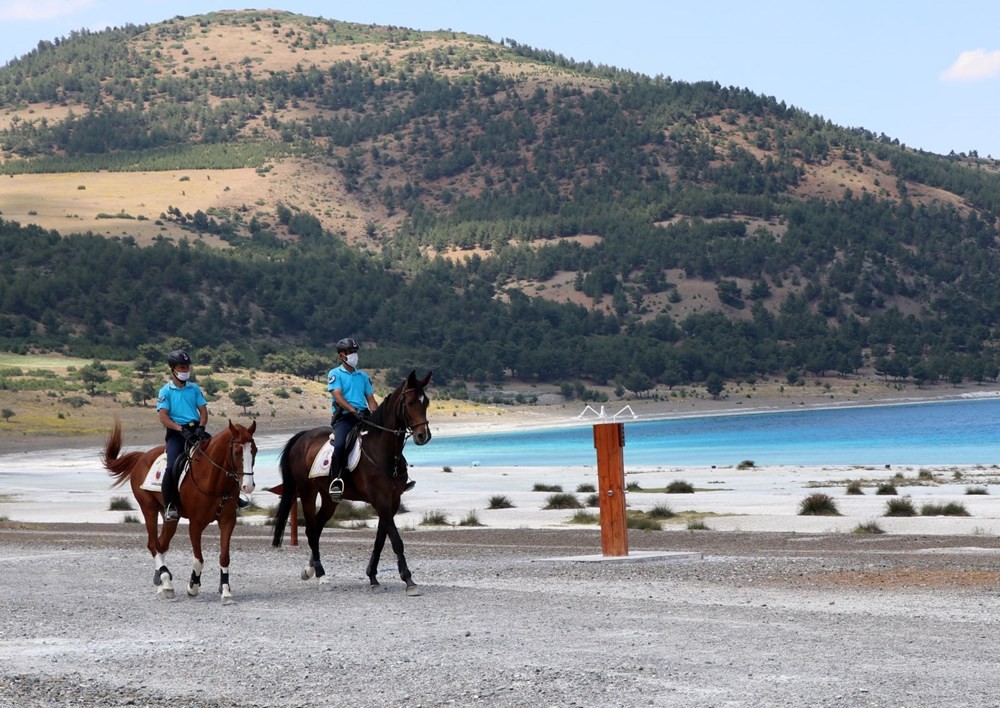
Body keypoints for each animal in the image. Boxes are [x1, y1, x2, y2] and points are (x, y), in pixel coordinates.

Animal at [101, 418, 256, 604]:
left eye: (254, 451)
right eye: (237, 452)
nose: (248, 486)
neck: (213, 479)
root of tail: (142, 457)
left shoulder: (228, 521)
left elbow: (224, 557)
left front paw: (225, 592)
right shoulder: (196, 524)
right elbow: (199, 559)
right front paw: (193, 587)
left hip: (170, 518)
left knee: (162, 545)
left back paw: (161, 584)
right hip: (149, 509)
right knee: (153, 544)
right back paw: (166, 582)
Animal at [272, 370, 432, 596]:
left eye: (426, 402)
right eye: (409, 402)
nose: (423, 436)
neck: (382, 450)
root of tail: (303, 437)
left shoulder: (392, 502)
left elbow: (381, 540)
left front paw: (373, 577)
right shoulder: (380, 500)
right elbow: (396, 540)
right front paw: (409, 581)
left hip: (330, 498)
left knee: (317, 528)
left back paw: (309, 569)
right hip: (307, 492)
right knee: (311, 530)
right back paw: (321, 576)